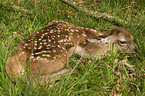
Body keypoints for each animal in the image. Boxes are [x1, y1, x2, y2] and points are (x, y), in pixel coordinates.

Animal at [5, 20, 135, 85]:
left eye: (133, 38)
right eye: (123, 42)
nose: (136, 49)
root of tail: (18, 57)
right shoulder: (85, 48)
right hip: (57, 56)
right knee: (31, 79)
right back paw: (69, 71)